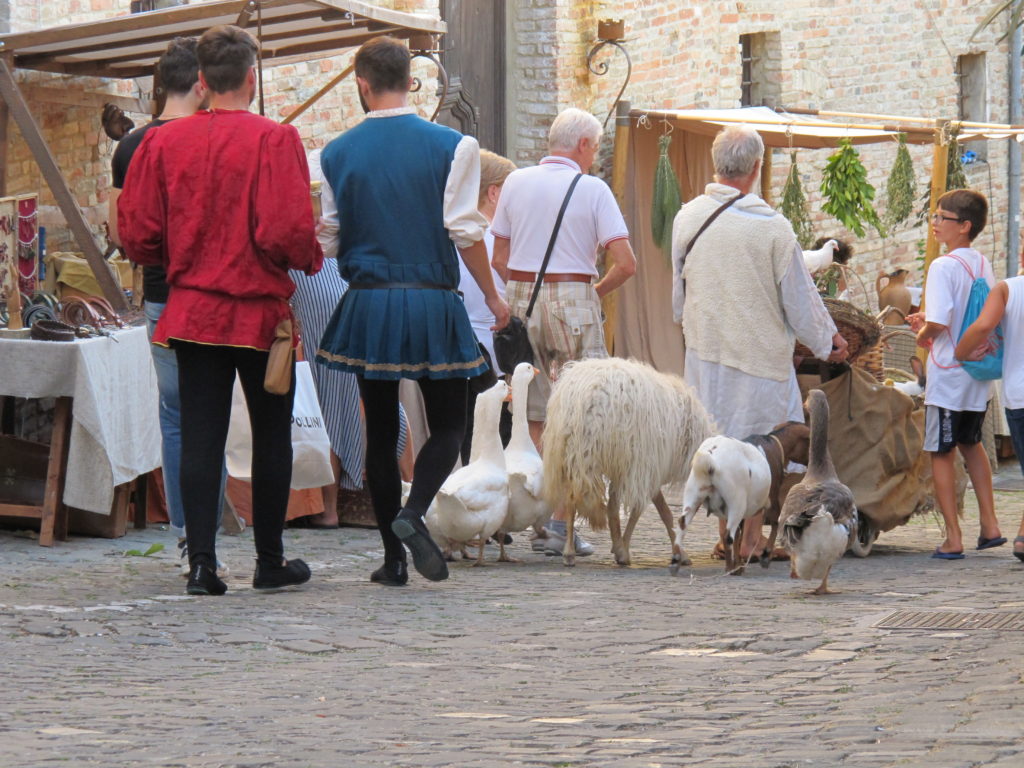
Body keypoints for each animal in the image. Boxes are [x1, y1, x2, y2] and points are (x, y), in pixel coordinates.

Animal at [544, 358, 712, 569]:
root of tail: (585, 397)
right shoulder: (643, 466)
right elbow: (647, 511)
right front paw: (623, 550)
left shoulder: (644, 469)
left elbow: (646, 510)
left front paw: (619, 546)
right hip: (602, 455)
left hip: (572, 457)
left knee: (571, 499)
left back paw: (568, 552)